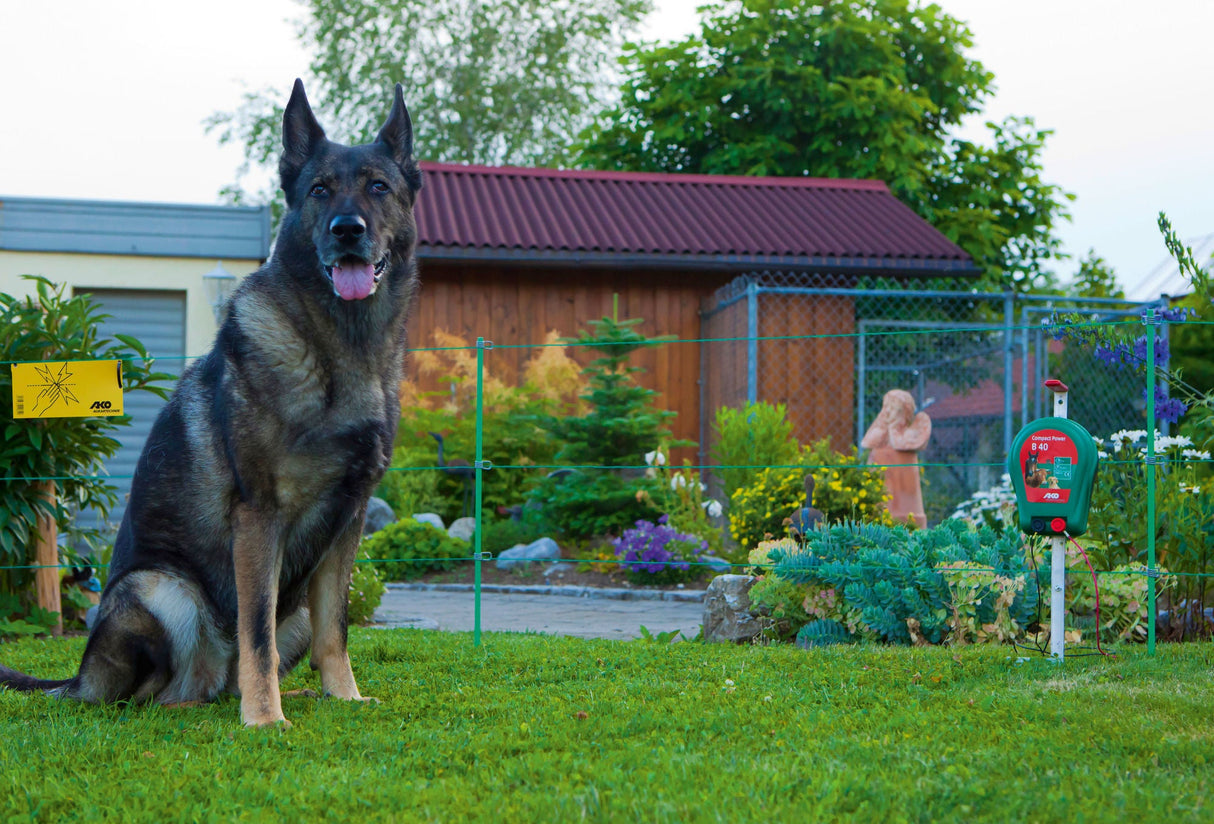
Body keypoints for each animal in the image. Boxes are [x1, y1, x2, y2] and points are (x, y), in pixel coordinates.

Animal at [0, 80, 422, 728]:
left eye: (379, 187)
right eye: (319, 190)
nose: (347, 229)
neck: (340, 348)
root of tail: (78, 677)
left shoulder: (346, 525)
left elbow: (337, 628)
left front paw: (344, 697)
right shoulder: (259, 519)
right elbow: (256, 633)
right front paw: (266, 719)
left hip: (291, 606)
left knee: (237, 671)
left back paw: (284, 695)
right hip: (160, 590)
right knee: (153, 696)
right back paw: (205, 705)